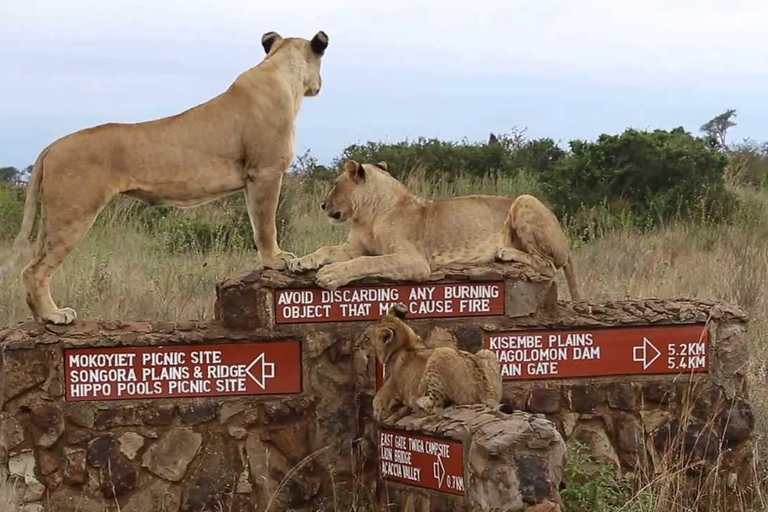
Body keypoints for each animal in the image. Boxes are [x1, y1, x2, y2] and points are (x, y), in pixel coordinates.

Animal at [0, 30, 328, 324]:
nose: (321, 85)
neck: (282, 73)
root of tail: (51, 146)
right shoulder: (266, 171)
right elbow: (266, 225)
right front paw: (276, 260)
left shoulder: (252, 178)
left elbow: (257, 222)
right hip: (73, 213)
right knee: (34, 270)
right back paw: (54, 315)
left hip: (52, 218)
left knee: (33, 263)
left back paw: (40, 317)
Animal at [288, 158, 584, 298]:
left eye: (335, 185)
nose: (322, 205)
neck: (367, 216)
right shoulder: (354, 246)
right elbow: (326, 248)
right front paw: (300, 262)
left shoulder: (414, 260)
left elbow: (366, 262)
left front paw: (331, 275)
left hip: (525, 199)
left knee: (547, 265)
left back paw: (505, 253)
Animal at [366, 304, 504, 420]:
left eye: (368, 338)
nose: (362, 341)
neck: (407, 343)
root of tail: (488, 393)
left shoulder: (386, 394)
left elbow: (375, 403)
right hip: (487, 352)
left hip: (440, 353)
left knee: (436, 406)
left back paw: (417, 401)